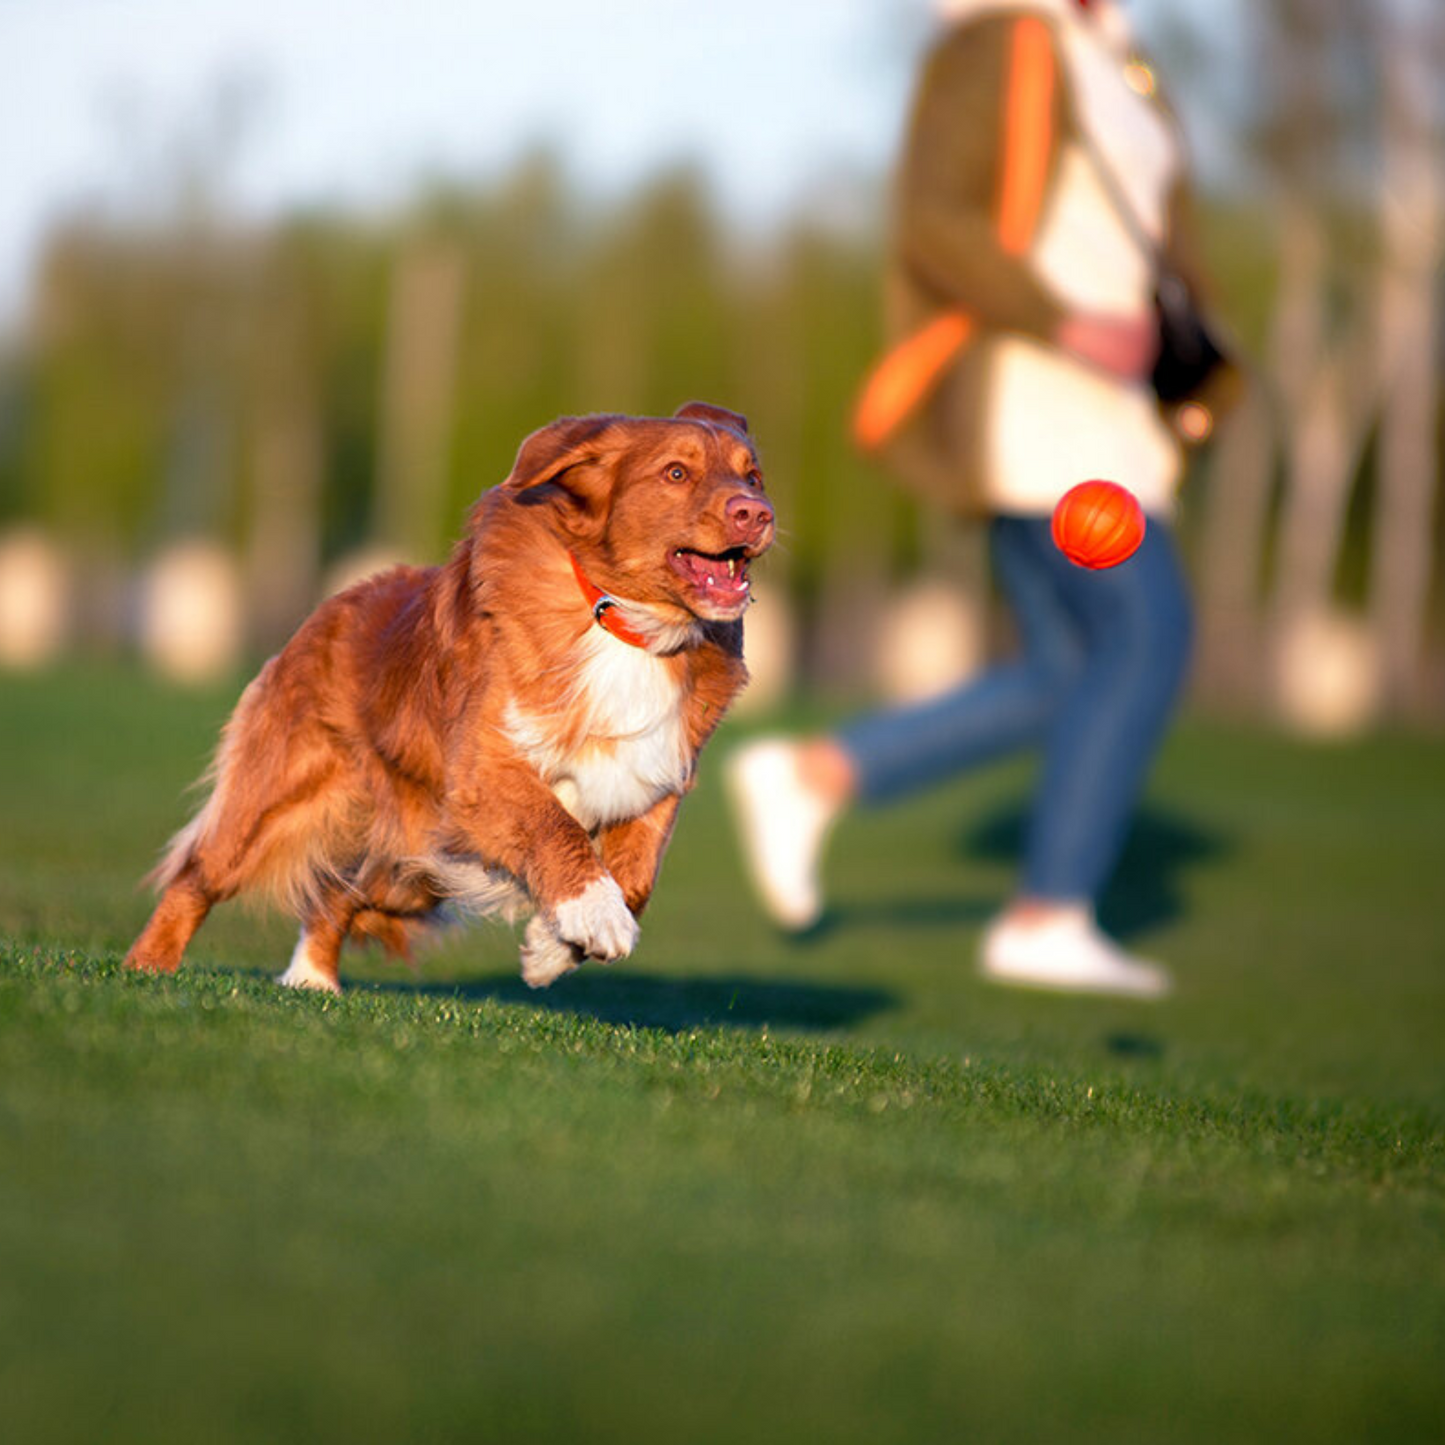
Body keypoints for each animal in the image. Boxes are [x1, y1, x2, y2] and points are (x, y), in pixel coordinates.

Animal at [125, 407, 780, 994]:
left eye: (752, 476)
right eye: (676, 473)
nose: (757, 513)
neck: (625, 624)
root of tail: (331, 604)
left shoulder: (655, 775)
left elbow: (638, 878)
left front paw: (552, 947)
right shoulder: (482, 770)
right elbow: (557, 828)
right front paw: (594, 916)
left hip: (413, 861)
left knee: (338, 894)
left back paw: (313, 979)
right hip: (281, 800)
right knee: (197, 874)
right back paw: (148, 966)